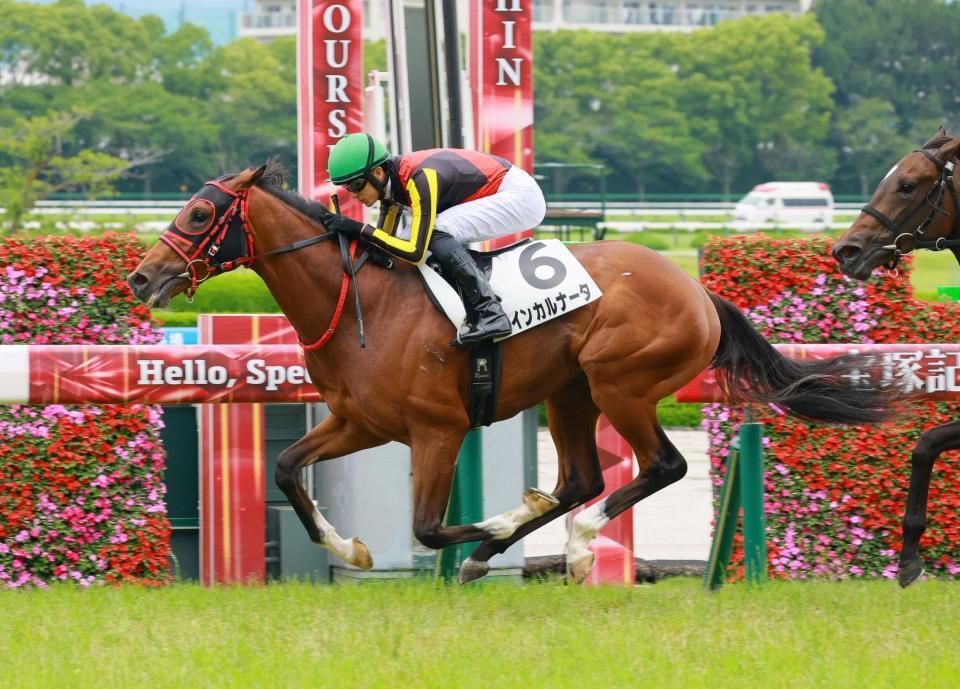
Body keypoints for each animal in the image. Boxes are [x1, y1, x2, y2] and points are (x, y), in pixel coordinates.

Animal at [128, 161, 905, 585]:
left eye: (199, 212)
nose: (141, 277)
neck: (360, 302)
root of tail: (696, 289)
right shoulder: (360, 422)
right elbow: (288, 468)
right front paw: (351, 544)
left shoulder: (438, 429)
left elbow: (431, 528)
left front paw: (501, 523)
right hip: (571, 391)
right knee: (583, 478)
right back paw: (538, 536)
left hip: (620, 383)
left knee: (659, 466)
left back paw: (581, 542)